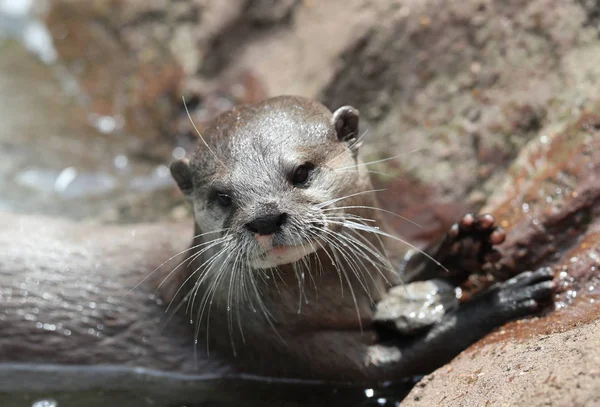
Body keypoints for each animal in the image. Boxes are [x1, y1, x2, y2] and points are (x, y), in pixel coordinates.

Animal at [0, 95, 552, 396]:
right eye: (222, 197)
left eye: (302, 171)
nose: (265, 216)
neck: (340, 298)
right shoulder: (266, 344)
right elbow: (402, 359)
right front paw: (508, 297)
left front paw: (465, 244)